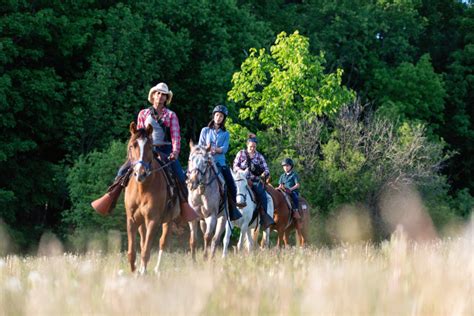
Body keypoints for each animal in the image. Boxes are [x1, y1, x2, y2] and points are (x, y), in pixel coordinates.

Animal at [124, 122, 180, 272]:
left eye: (149, 147)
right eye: (132, 146)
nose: (141, 173)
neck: (142, 189)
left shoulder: (152, 220)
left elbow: (146, 251)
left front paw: (142, 272)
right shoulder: (131, 220)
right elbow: (132, 252)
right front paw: (135, 271)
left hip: (168, 220)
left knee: (162, 242)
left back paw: (156, 270)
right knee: (144, 241)